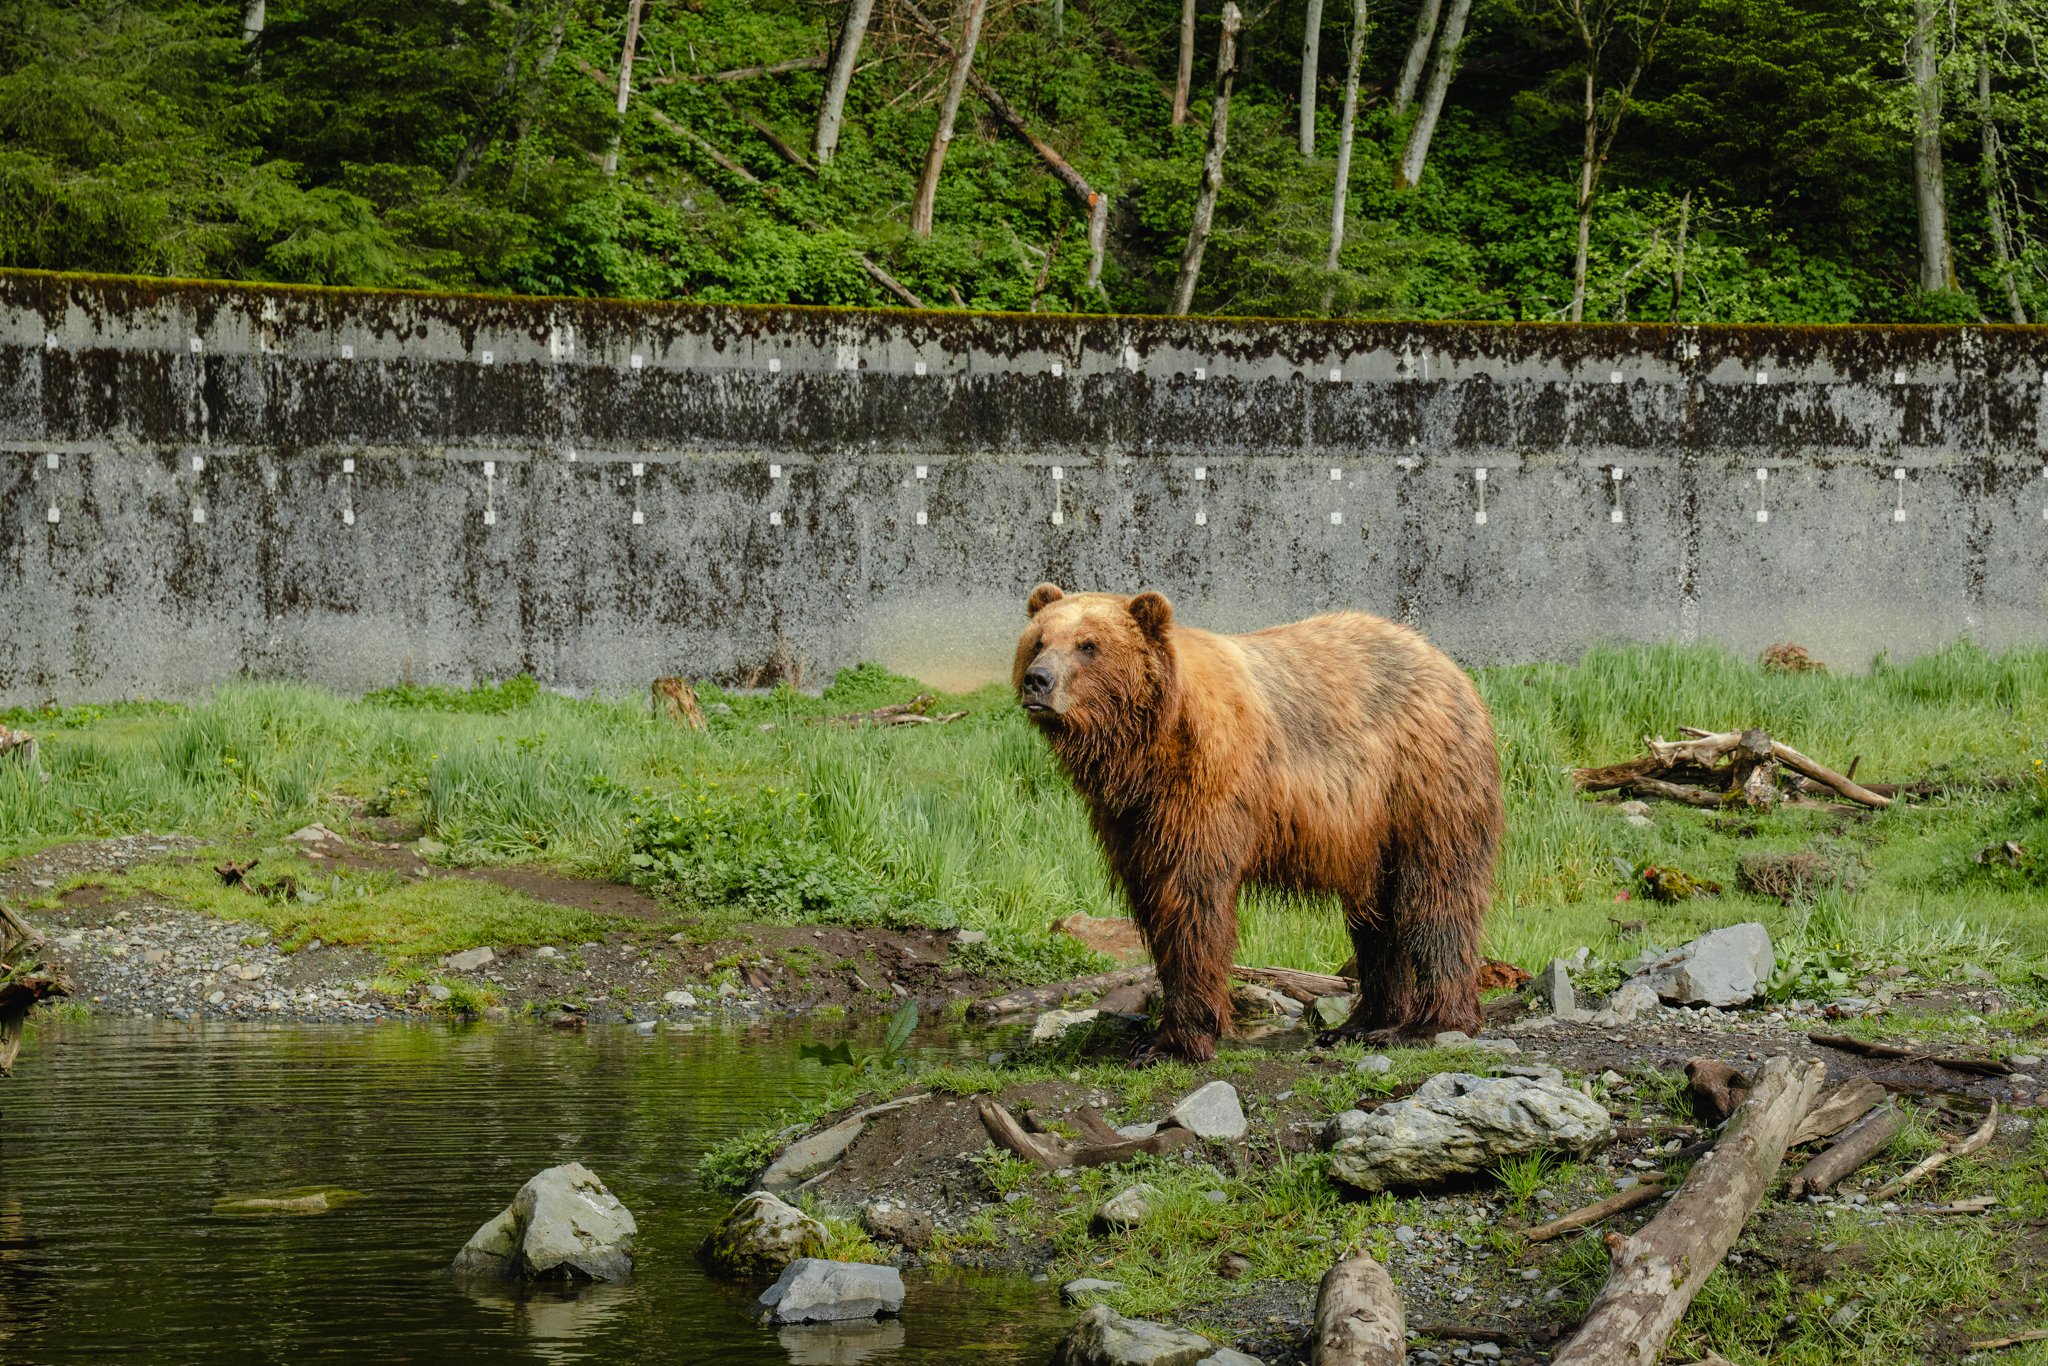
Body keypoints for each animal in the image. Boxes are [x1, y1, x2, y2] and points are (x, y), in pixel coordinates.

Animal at [1013, 583, 1503, 1062]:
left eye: (1088, 645)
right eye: (1038, 640)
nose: (1038, 680)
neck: (1146, 748)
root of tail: (1447, 664)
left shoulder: (1208, 790)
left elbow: (1193, 902)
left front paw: (1174, 1041)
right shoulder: (1132, 819)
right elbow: (1155, 900)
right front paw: (1157, 1034)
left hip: (1422, 784)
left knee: (1437, 895)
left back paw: (1429, 1024)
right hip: (1372, 834)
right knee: (1377, 920)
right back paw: (1361, 1024)